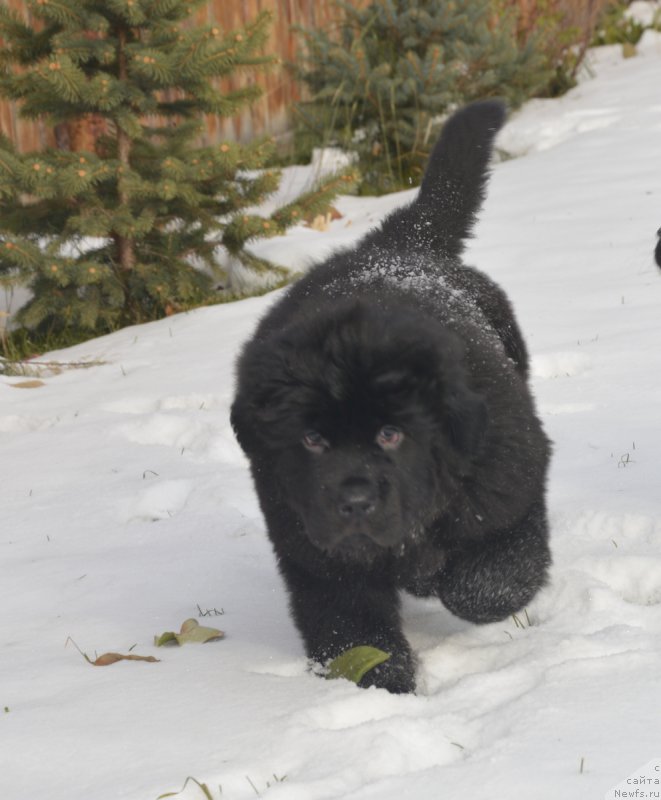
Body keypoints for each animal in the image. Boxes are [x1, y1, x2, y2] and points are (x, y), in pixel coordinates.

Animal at [232, 103, 552, 692]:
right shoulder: (316, 552)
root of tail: (395, 249)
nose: (355, 502)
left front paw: (446, 582)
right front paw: (384, 688)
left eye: (391, 434)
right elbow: (351, 631)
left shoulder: (507, 483)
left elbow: (488, 583)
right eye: (312, 440)